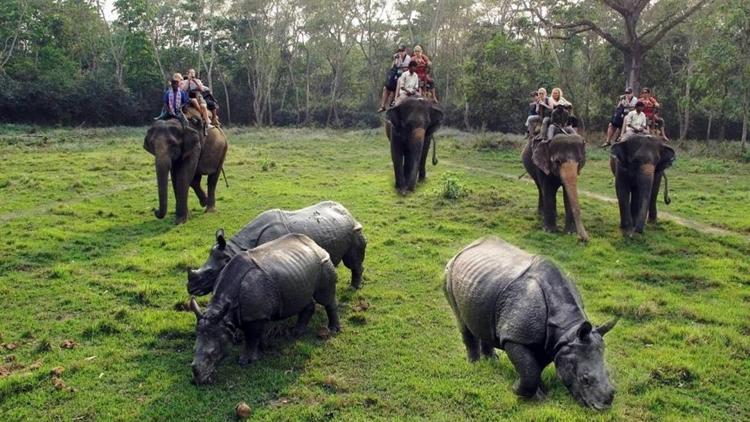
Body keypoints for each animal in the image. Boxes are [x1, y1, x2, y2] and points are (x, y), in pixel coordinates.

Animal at [187, 199, 366, 296]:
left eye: (210, 273)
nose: (190, 289)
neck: (235, 250)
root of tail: (347, 211)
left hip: (354, 229)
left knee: (352, 261)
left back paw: (354, 288)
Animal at [191, 234, 340, 386]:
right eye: (193, 350)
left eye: (214, 353)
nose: (199, 381)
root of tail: (314, 244)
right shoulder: (253, 314)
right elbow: (256, 334)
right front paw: (264, 347)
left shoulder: (254, 315)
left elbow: (251, 338)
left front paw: (245, 361)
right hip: (298, 270)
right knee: (303, 298)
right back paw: (296, 333)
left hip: (323, 263)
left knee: (325, 298)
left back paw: (333, 330)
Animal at [446, 237, 616, 408]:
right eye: (584, 379)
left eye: (609, 373)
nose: (603, 407)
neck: (568, 329)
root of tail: (465, 247)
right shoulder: (515, 337)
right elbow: (529, 371)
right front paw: (519, 390)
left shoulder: (553, 343)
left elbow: (536, 367)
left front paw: (541, 393)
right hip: (449, 272)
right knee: (461, 321)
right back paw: (475, 365)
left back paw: (492, 361)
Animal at [524, 108, 588, 241]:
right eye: (557, 161)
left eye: (579, 162)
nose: (583, 239)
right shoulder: (542, 164)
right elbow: (548, 190)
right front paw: (550, 231)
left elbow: (567, 193)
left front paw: (570, 233)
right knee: (540, 188)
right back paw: (541, 214)